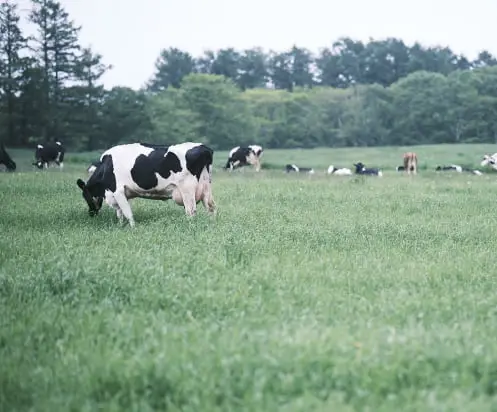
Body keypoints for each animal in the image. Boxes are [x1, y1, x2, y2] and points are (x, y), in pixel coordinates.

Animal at [76, 141, 215, 225]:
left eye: (85, 196)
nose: (91, 213)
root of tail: (204, 148)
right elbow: (120, 213)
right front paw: (120, 226)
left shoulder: (117, 191)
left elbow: (127, 213)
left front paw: (133, 228)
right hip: (206, 186)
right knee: (211, 207)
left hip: (187, 189)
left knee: (191, 211)